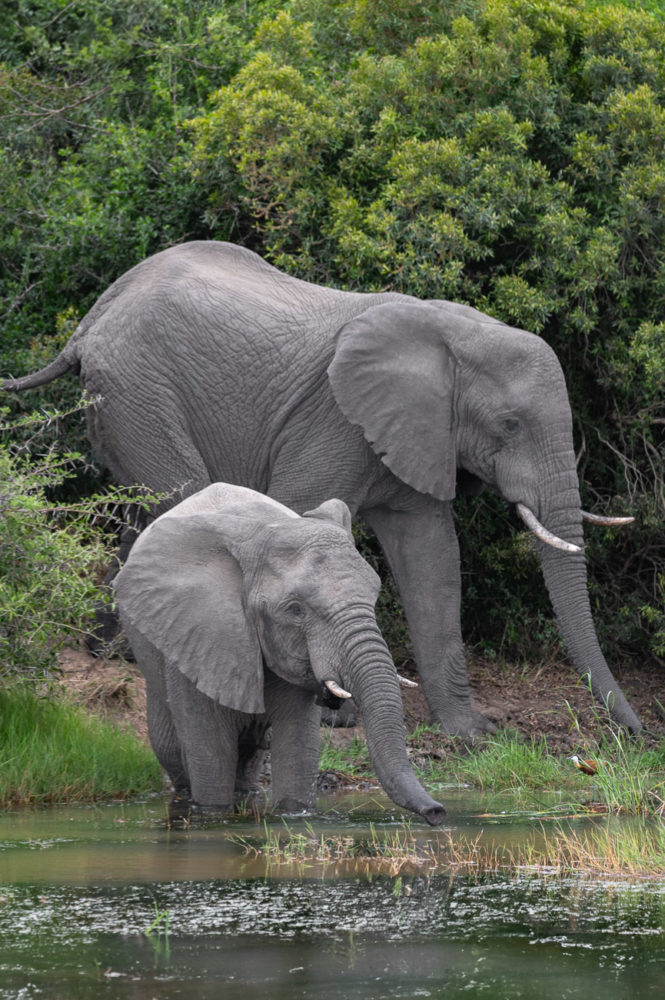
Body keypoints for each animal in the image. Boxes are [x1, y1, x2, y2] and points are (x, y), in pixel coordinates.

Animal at [2, 240, 641, 735]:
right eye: (509, 425)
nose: (634, 732)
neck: (455, 333)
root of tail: (90, 320)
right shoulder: (334, 419)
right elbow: (299, 517)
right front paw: (333, 715)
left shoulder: (419, 435)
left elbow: (434, 560)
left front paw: (472, 733)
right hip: (139, 391)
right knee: (177, 497)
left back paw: (108, 653)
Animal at [112, 481, 446, 825]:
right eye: (295, 609)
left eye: (374, 596)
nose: (437, 813)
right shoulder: (196, 631)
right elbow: (210, 756)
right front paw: (212, 816)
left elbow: (297, 747)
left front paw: (293, 815)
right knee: (171, 746)